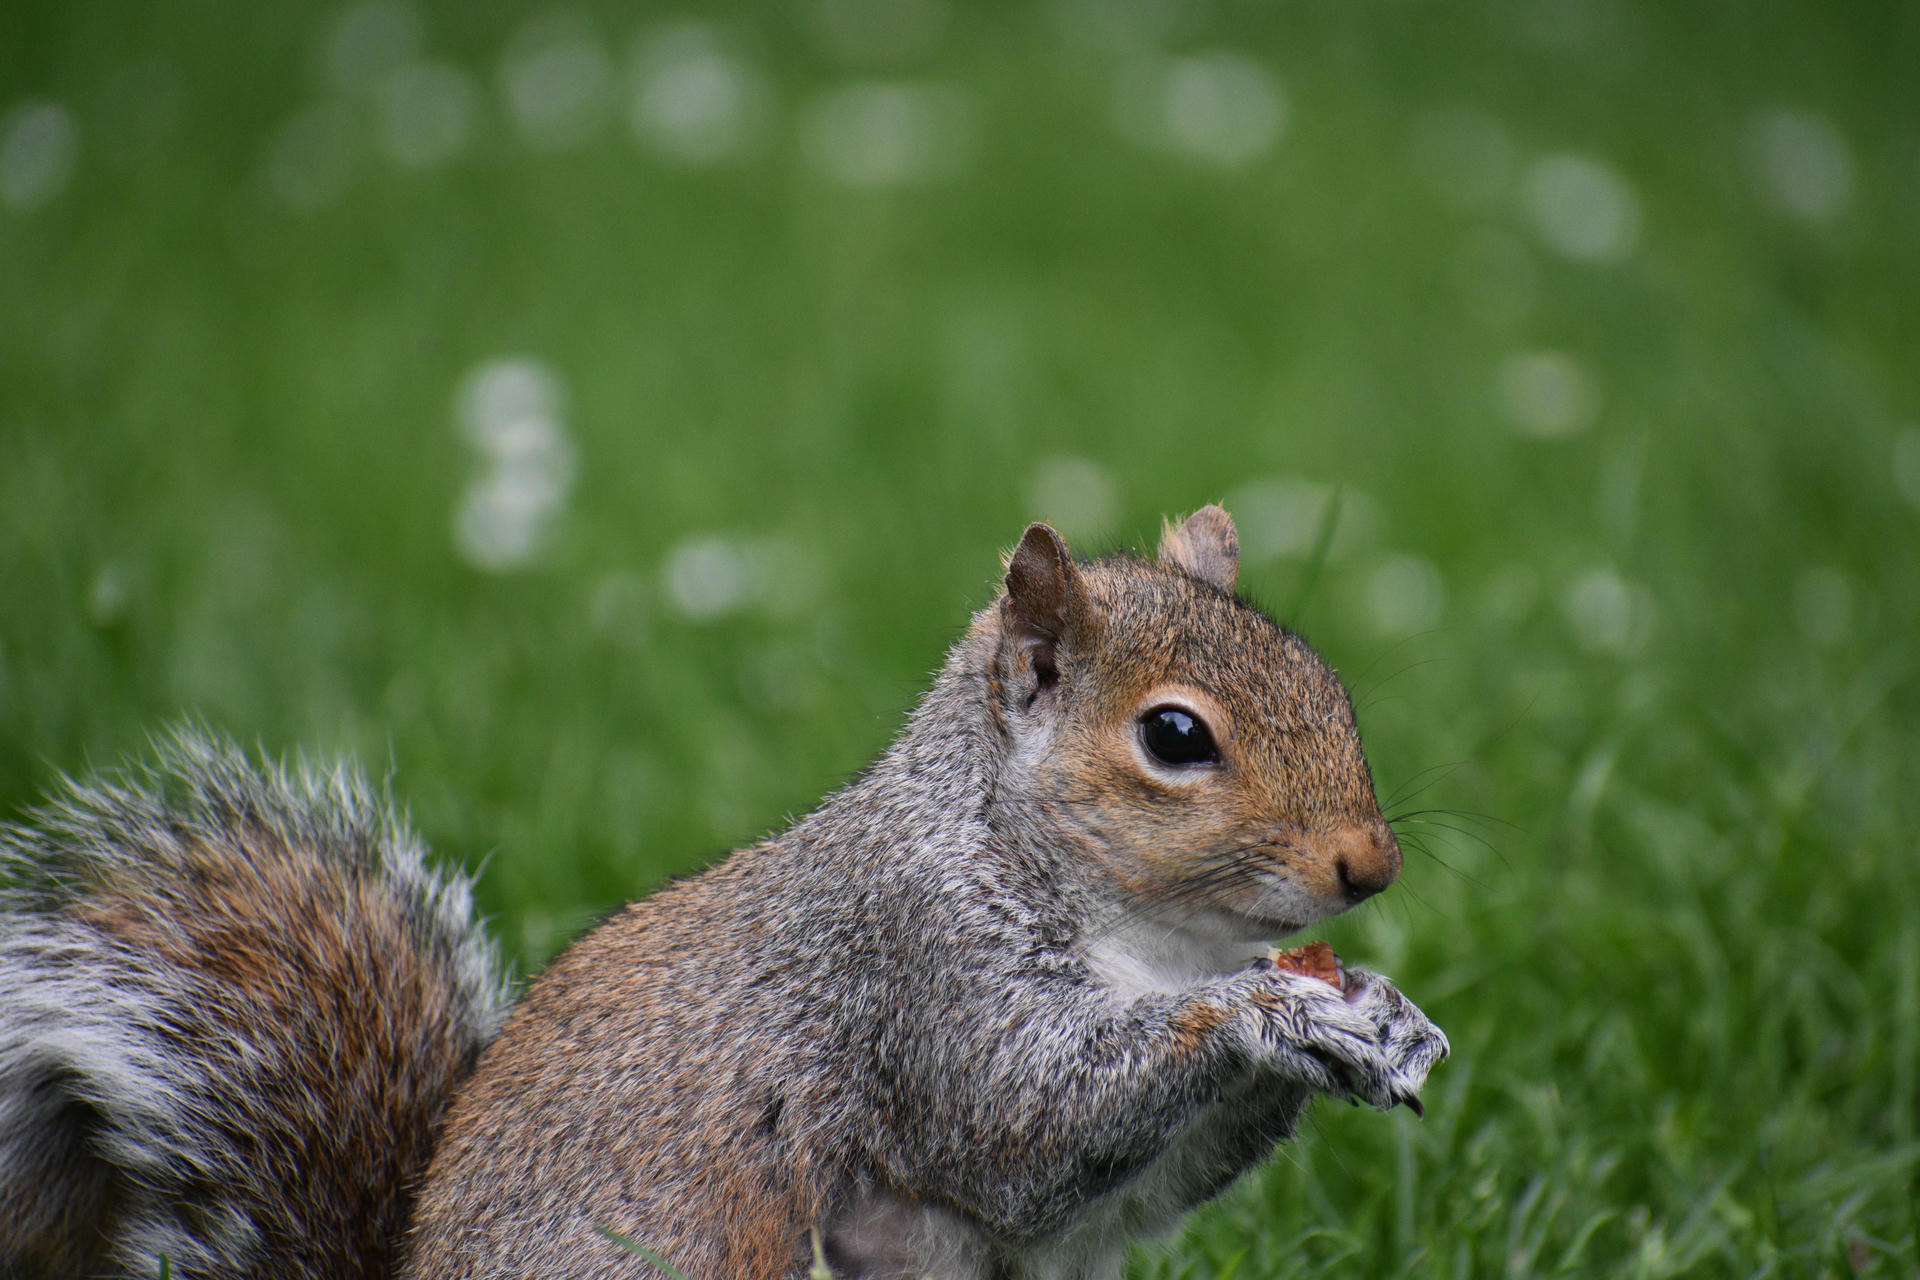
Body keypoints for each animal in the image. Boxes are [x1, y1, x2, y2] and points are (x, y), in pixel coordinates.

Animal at [0, 506, 1447, 1280]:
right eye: (1176, 737)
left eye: (1327, 679)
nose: (1369, 865)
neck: (1153, 941)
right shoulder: (909, 972)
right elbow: (1023, 1127)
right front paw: (1274, 1016)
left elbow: (1131, 1190)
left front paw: (1379, 1013)